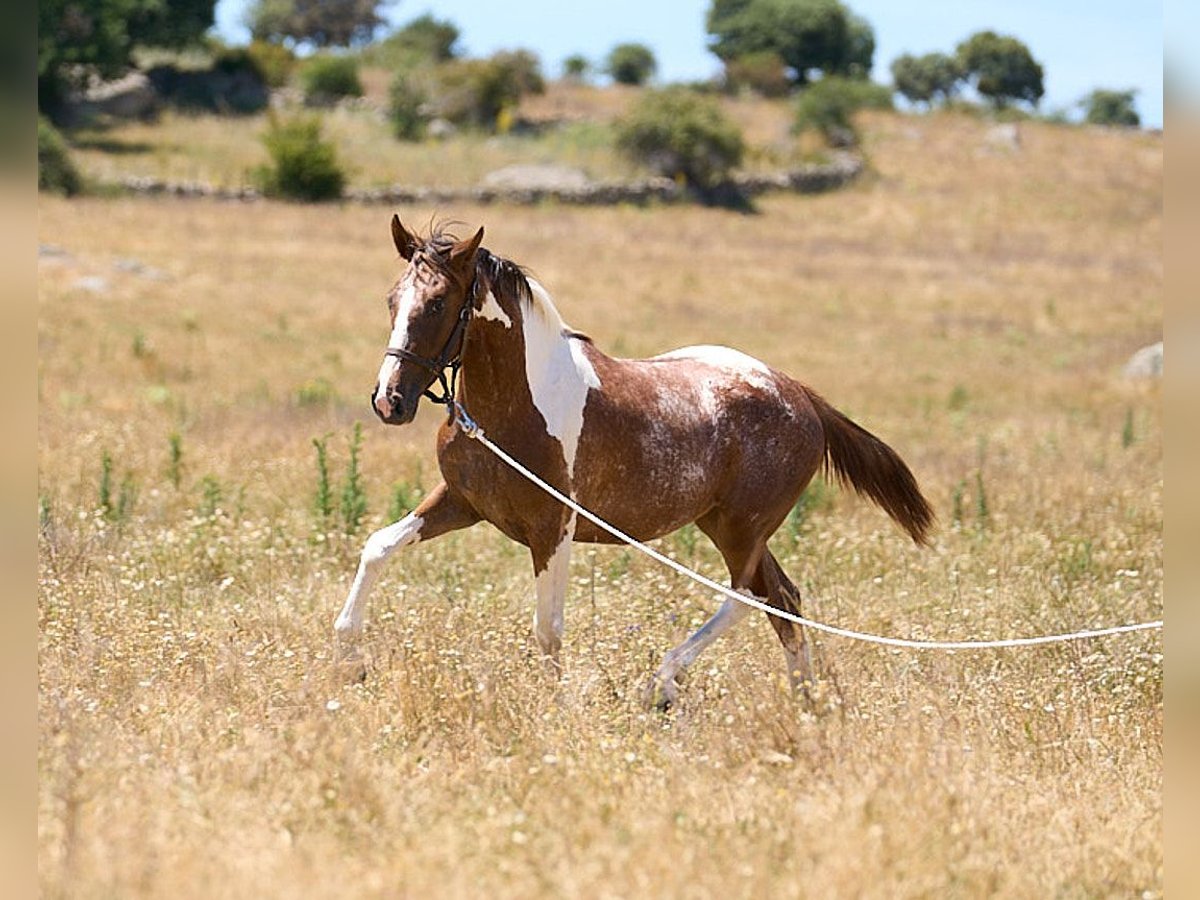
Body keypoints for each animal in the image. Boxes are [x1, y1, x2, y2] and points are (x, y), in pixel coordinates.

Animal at [333, 218, 931, 710]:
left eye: (437, 304)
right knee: (782, 598)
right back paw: (806, 701)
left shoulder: (552, 528)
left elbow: (548, 627)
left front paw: (555, 709)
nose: (389, 402)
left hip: (744, 528)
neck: (518, 403)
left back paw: (661, 685)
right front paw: (350, 660)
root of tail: (802, 396)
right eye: (392, 300)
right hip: (724, 524)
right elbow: (378, 546)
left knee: (743, 597)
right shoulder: (463, 503)